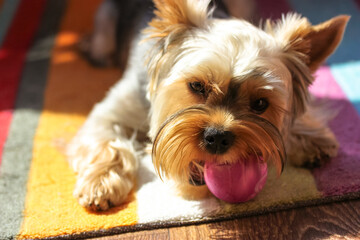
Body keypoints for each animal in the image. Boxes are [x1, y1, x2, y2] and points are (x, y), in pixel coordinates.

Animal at [67, 0, 348, 210]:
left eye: (260, 103)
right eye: (197, 86)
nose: (218, 137)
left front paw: (309, 138)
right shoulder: (111, 111)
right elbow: (108, 143)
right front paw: (101, 184)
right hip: (107, 21)